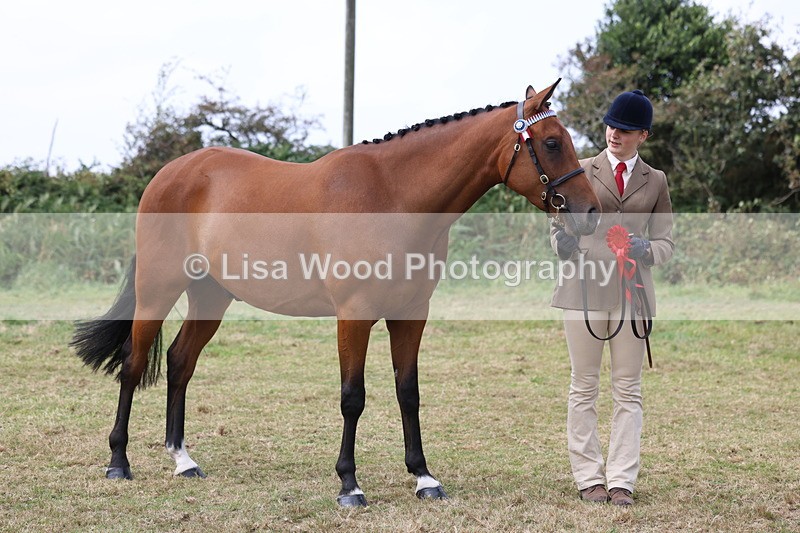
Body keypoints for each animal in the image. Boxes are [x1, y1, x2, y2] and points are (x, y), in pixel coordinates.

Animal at [71, 79, 600, 507]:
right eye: (552, 142)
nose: (591, 212)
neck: (392, 197)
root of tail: (170, 173)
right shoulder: (355, 315)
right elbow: (353, 397)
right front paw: (350, 486)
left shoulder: (412, 314)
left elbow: (408, 392)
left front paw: (424, 478)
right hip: (157, 290)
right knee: (133, 363)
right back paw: (118, 463)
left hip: (211, 297)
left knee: (180, 362)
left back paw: (184, 460)